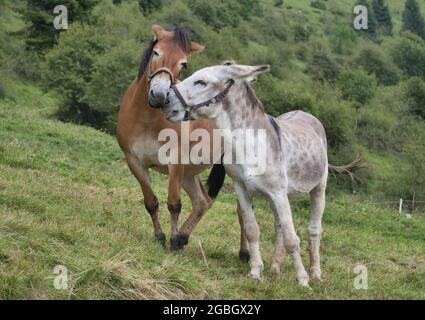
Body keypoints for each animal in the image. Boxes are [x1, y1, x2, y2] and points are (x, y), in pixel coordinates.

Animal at [116, 25, 229, 251]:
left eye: (183, 63)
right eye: (156, 52)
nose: (159, 95)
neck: (146, 118)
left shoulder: (175, 163)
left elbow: (174, 204)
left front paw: (171, 238)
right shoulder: (134, 162)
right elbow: (151, 202)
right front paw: (160, 236)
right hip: (189, 173)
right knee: (202, 202)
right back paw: (183, 238)